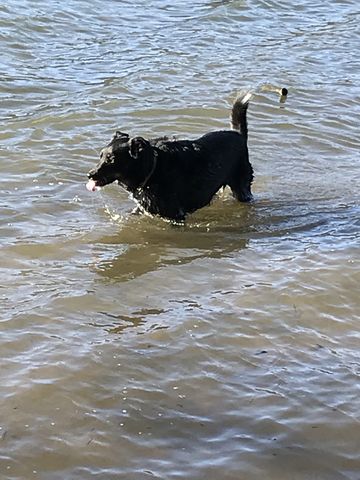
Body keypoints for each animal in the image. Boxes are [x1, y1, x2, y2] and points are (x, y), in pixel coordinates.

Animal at [87, 91, 253, 222]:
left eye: (111, 159)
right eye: (100, 156)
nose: (90, 174)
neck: (152, 170)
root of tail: (238, 134)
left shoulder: (175, 215)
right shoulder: (144, 208)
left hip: (241, 187)